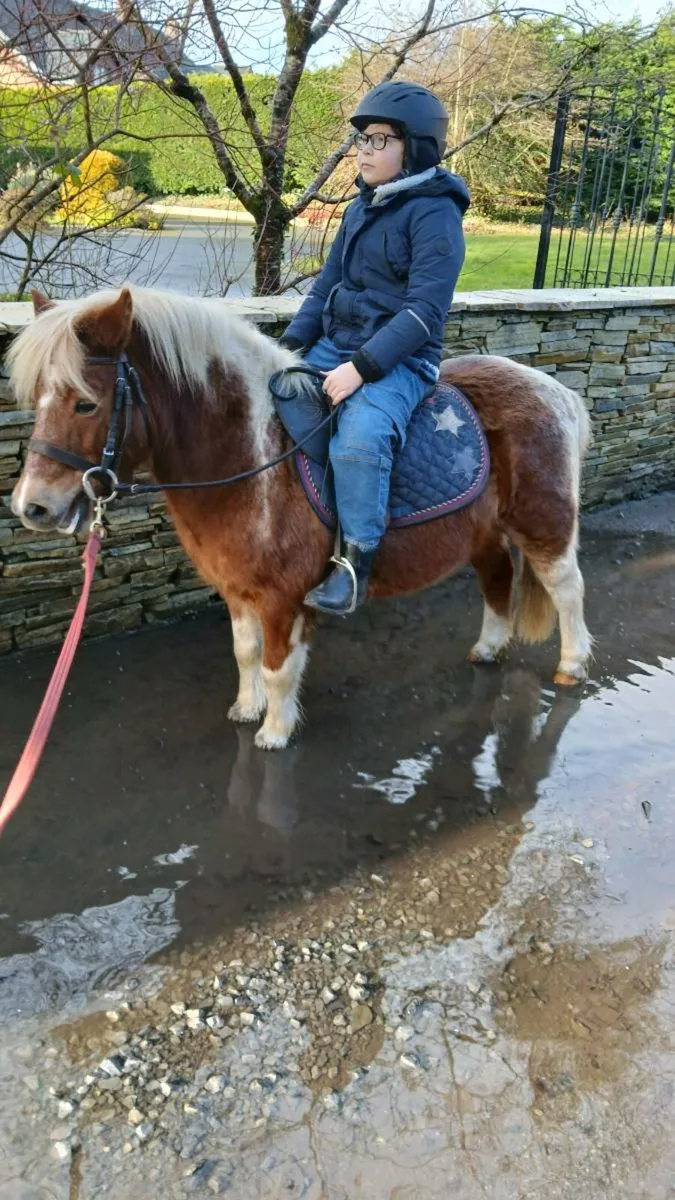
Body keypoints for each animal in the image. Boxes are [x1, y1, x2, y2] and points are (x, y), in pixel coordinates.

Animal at [8, 285, 592, 750]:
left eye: (86, 403)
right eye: (37, 398)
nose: (32, 506)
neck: (253, 455)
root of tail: (556, 390)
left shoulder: (282, 598)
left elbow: (277, 667)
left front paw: (275, 731)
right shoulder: (237, 588)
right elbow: (246, 653)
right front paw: (247, 710)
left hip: (544, 522)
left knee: (567, 588)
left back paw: (571, 665)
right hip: (484, 532)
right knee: (498, 578)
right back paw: (488, 649)